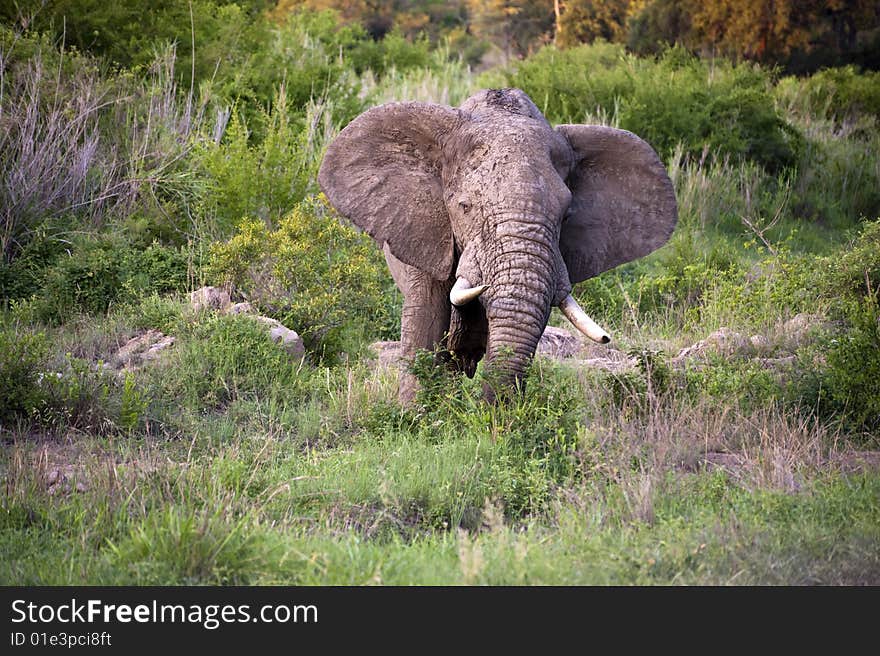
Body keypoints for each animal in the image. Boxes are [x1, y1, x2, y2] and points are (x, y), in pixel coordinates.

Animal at [320, 89, 676, 402]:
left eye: (565, 215)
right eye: (465, 207)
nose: (492, 416)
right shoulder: (426, 231)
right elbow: (427, 318)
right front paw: (415, 416)